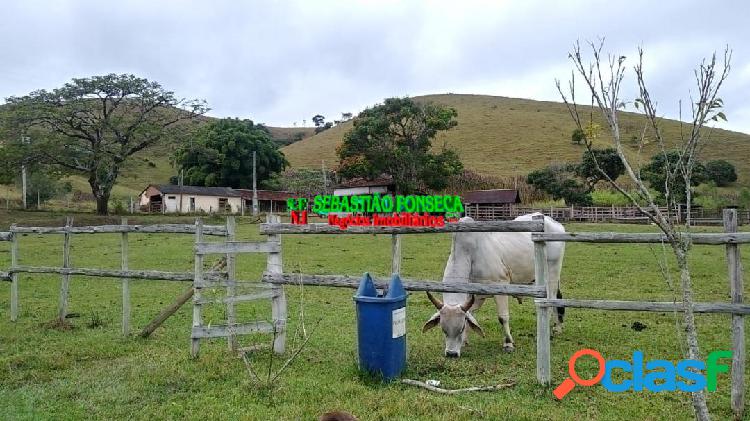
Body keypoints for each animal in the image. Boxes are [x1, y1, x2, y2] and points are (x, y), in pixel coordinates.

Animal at [424, 213, 564, 358]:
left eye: (461, 328)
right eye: (443, 329)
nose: (451, 353)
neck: (470, 254)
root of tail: (552, 221)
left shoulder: (500, 285)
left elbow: (503, 317)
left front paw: (508, 343)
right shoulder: (476, 295)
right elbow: (471, 314)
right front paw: (464, 342)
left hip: (552, 272)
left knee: (551, 300)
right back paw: (556, 327)